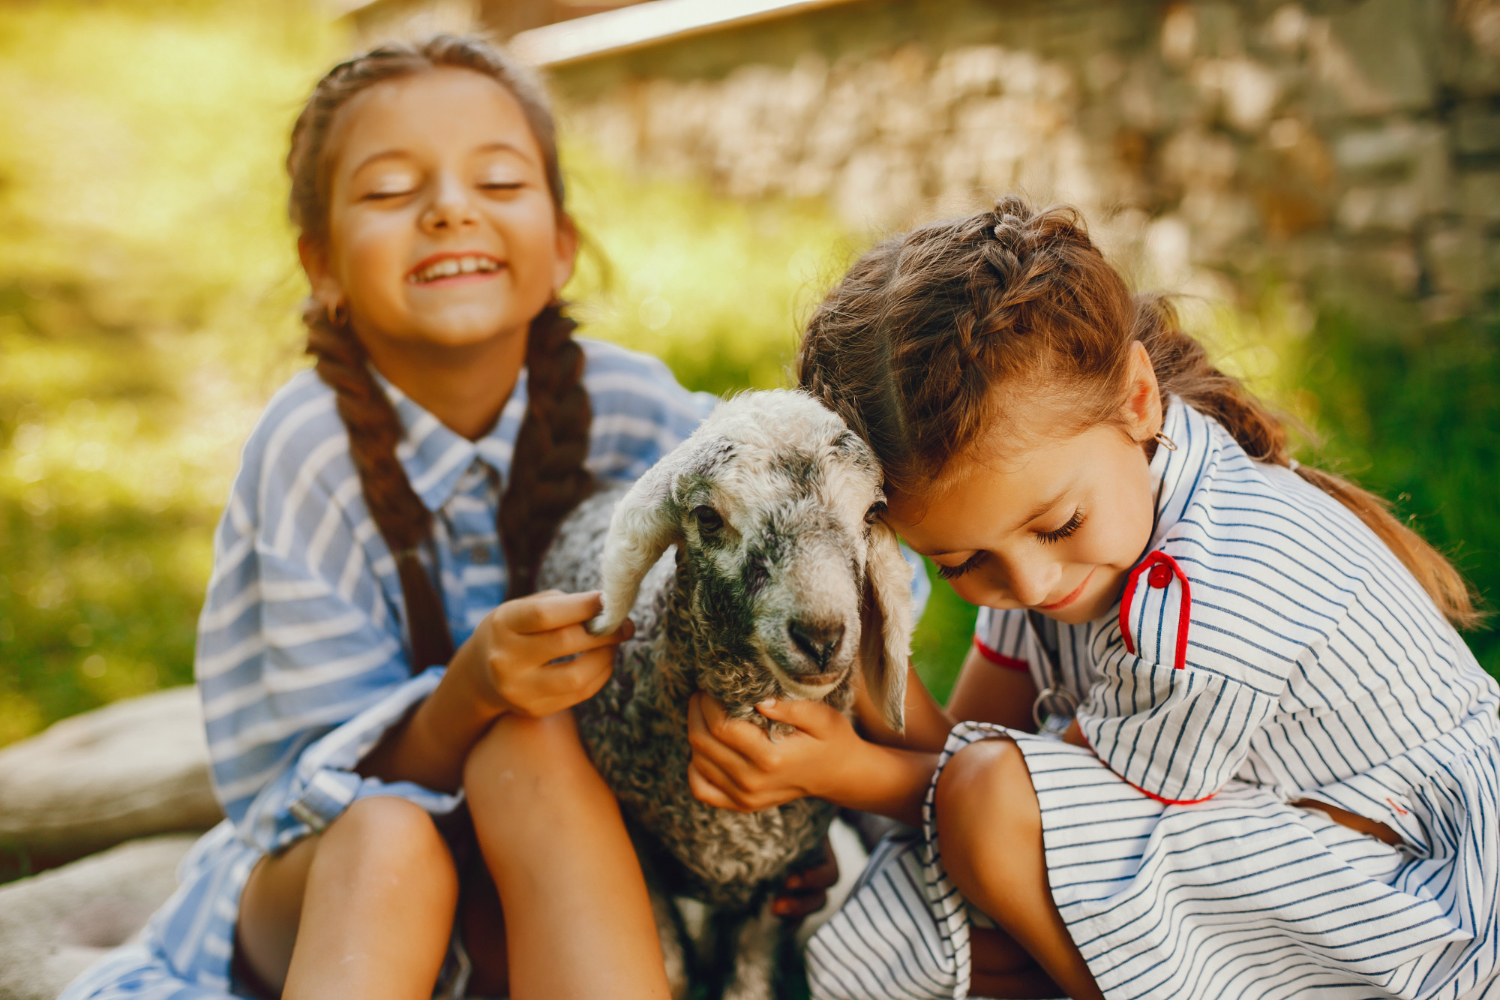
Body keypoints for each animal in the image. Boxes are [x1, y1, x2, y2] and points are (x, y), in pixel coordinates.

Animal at [540, 389, 912, 1000]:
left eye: (871, 513)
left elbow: (748, 979)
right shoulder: (639, 849)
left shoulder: (781, 881)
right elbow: (670, 968)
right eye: (708, 517)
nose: (821, 637)